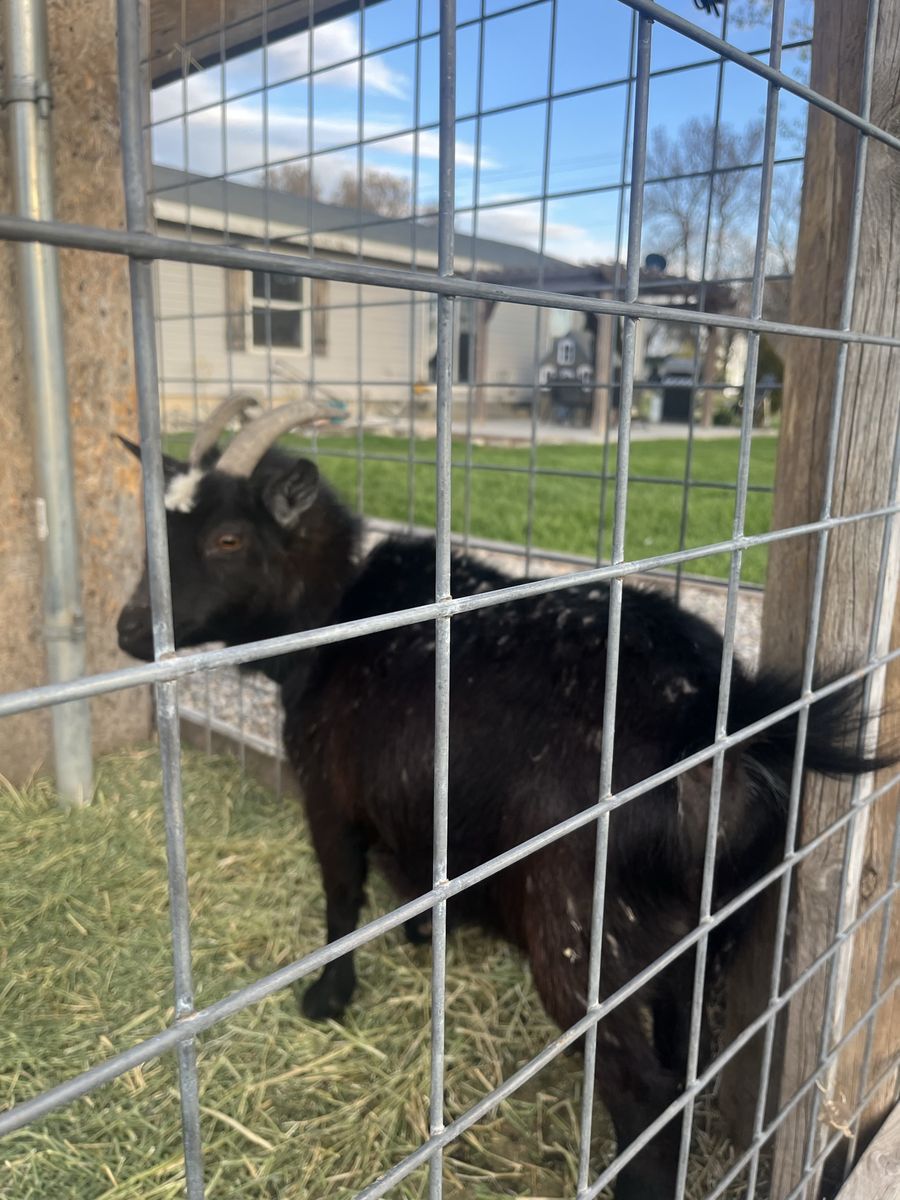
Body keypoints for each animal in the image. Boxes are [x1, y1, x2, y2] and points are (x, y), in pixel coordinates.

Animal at [116, 400, 894, 1200]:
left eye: (228, 537)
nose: (130, 630)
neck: (339, 615)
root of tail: (711, 712)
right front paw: (421, 933)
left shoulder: (329, 795)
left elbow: (340, 898)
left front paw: (328, 998)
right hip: (704, 933)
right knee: (681, 1070)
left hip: (585, 934)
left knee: (642, 1094)